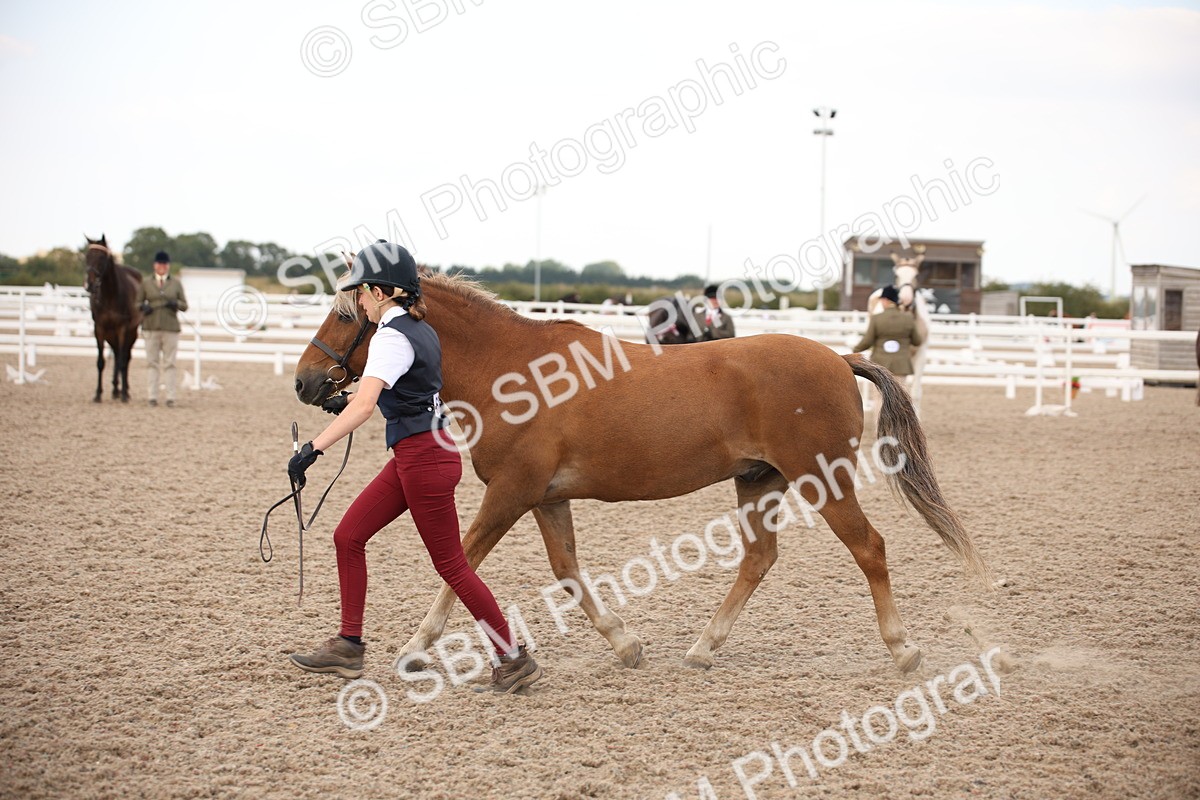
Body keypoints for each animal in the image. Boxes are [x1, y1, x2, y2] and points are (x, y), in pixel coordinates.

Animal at [84, 235, 143, 403]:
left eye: (102, 258)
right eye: (87, 257)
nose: (90, 285)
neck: (110, 295)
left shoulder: (122, 328)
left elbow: (123, 361)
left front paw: (124, 394)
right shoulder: (99, 329)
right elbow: (100, 362)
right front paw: (98, 394)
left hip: (131, 332)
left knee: (125, 357)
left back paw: (124, 390)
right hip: (111, 334)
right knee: (117, 355)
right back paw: (115, 389)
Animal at [293, 272, 990, 674]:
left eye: (348, 316)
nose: (305, 382)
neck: (510, 369)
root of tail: (840, 358)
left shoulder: (511, 493)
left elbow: (459, 560)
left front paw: (416, 647)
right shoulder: (545, 498)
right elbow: (567, 571)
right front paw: (624, 643)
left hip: (824, 478)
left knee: (869, 548)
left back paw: (902, 648)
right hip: (757, 482)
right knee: (759, 558)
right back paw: (703, 647)